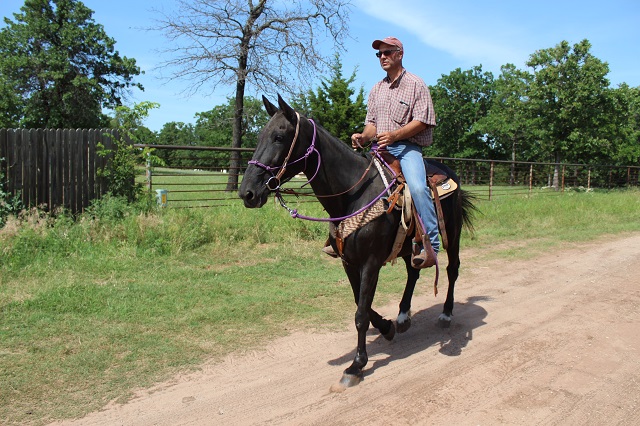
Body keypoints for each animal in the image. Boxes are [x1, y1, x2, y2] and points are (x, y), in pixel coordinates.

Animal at [238, 95, 472, 388]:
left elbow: (361, 314)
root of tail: (450, 171)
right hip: (410, 247)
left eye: (279, 137)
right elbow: (362, 305)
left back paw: (446, 313)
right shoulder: (348, 262)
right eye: (260, 136)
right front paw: (387, 327)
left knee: (452, 269)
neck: (353, 195)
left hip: (453, 234)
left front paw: (356, 365)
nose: (247, 193)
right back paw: (403, 316)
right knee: (413, 272)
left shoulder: (371, 263)